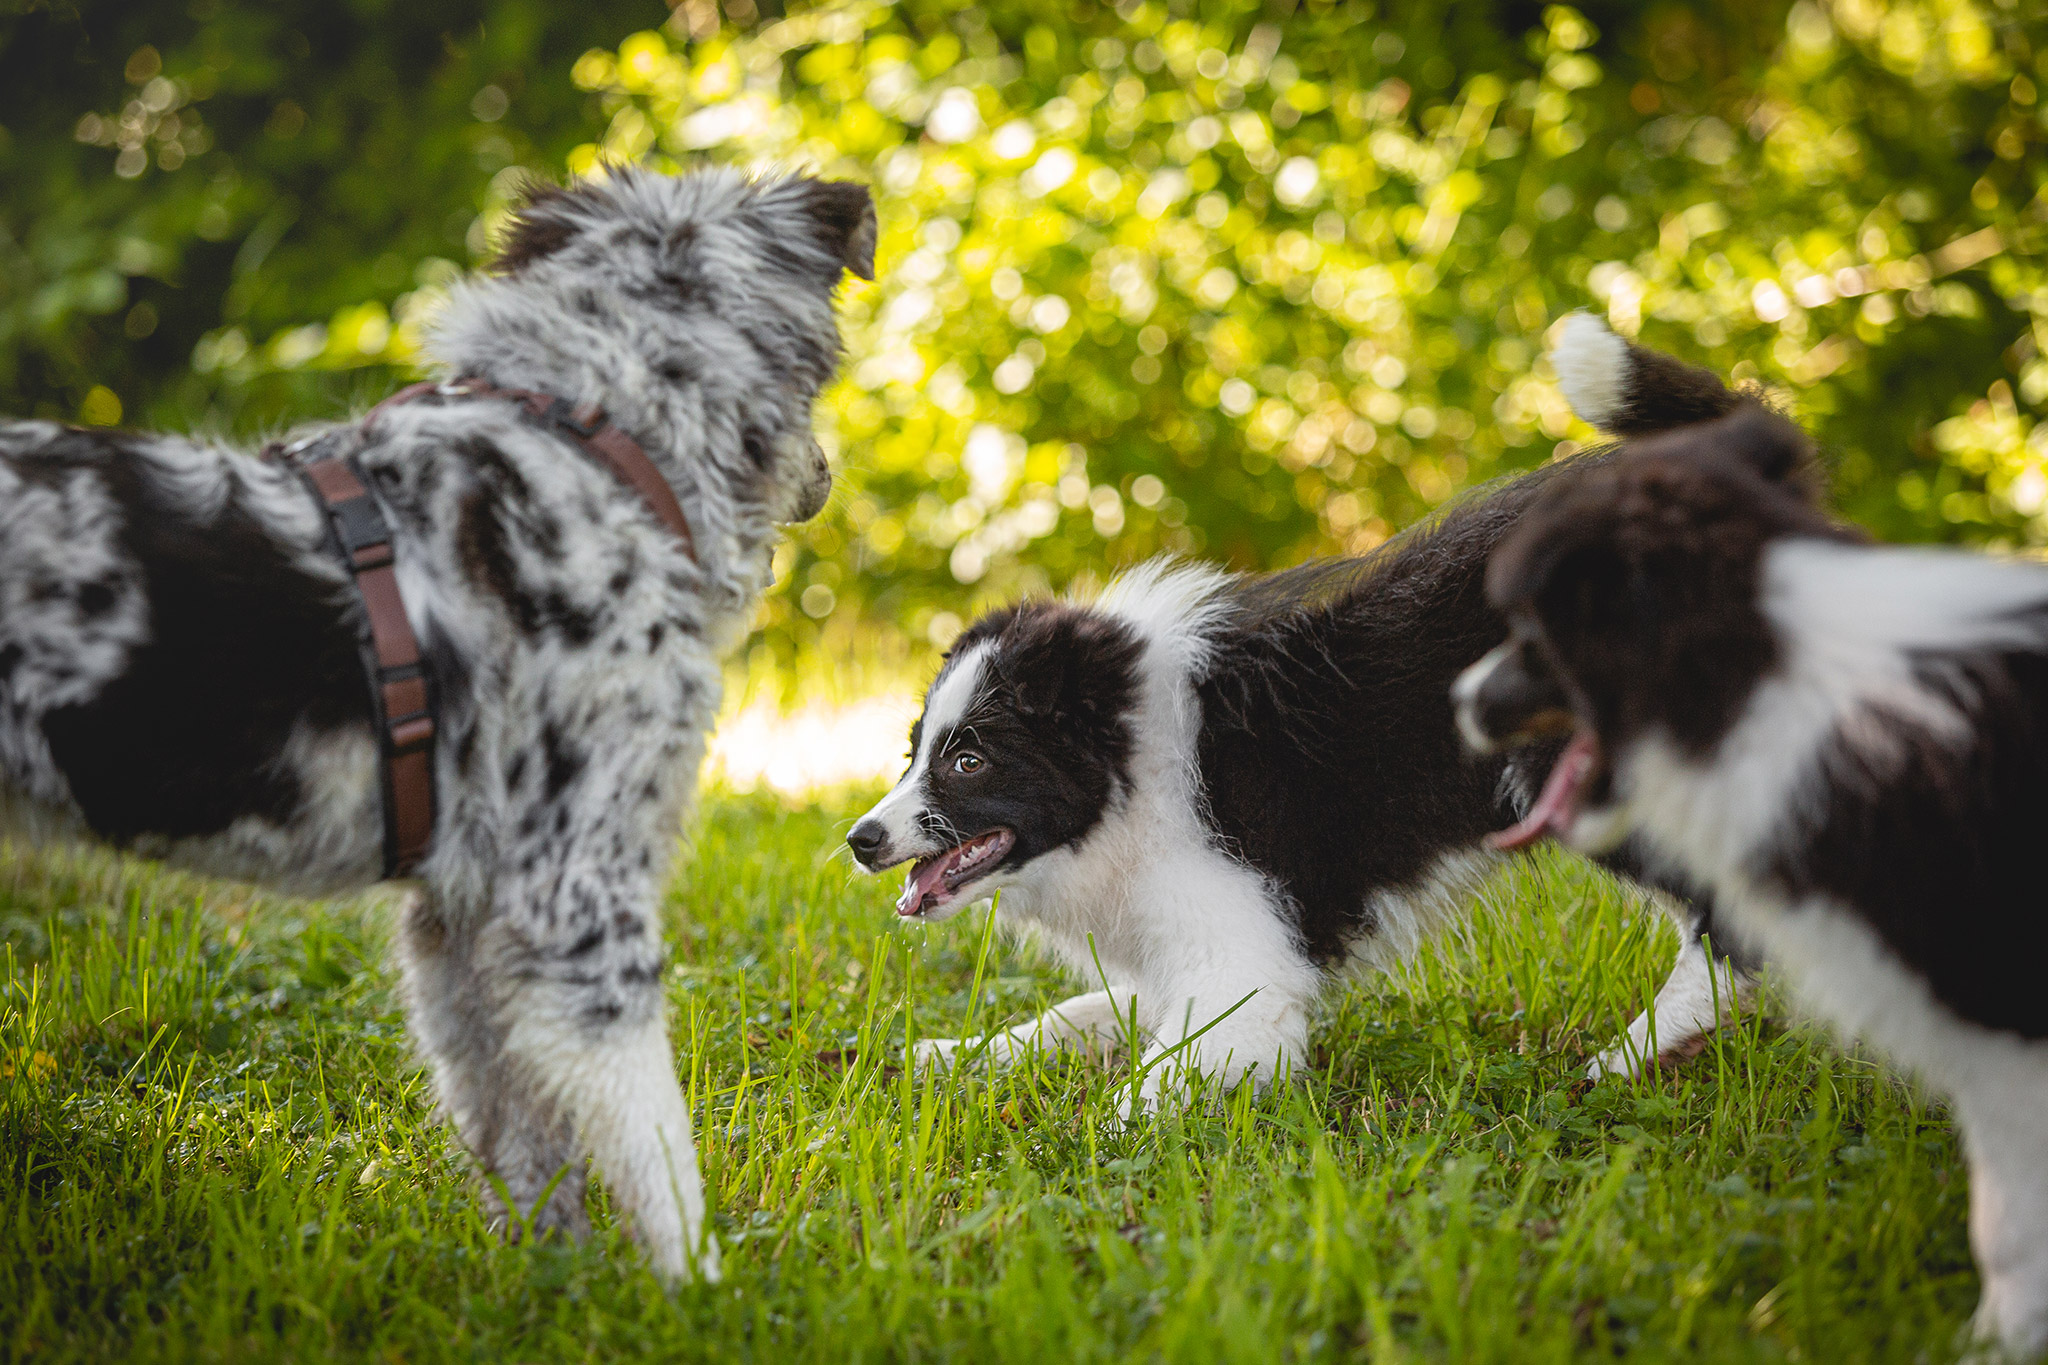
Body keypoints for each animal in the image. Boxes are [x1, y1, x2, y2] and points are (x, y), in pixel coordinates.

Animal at [0, 167, 872, 1285]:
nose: (826, 476)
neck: (597, 440)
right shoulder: (577, 898)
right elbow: (656, 1154)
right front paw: (701, 1296)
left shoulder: (456, 920)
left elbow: (521, 1139)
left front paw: (559, 1289)